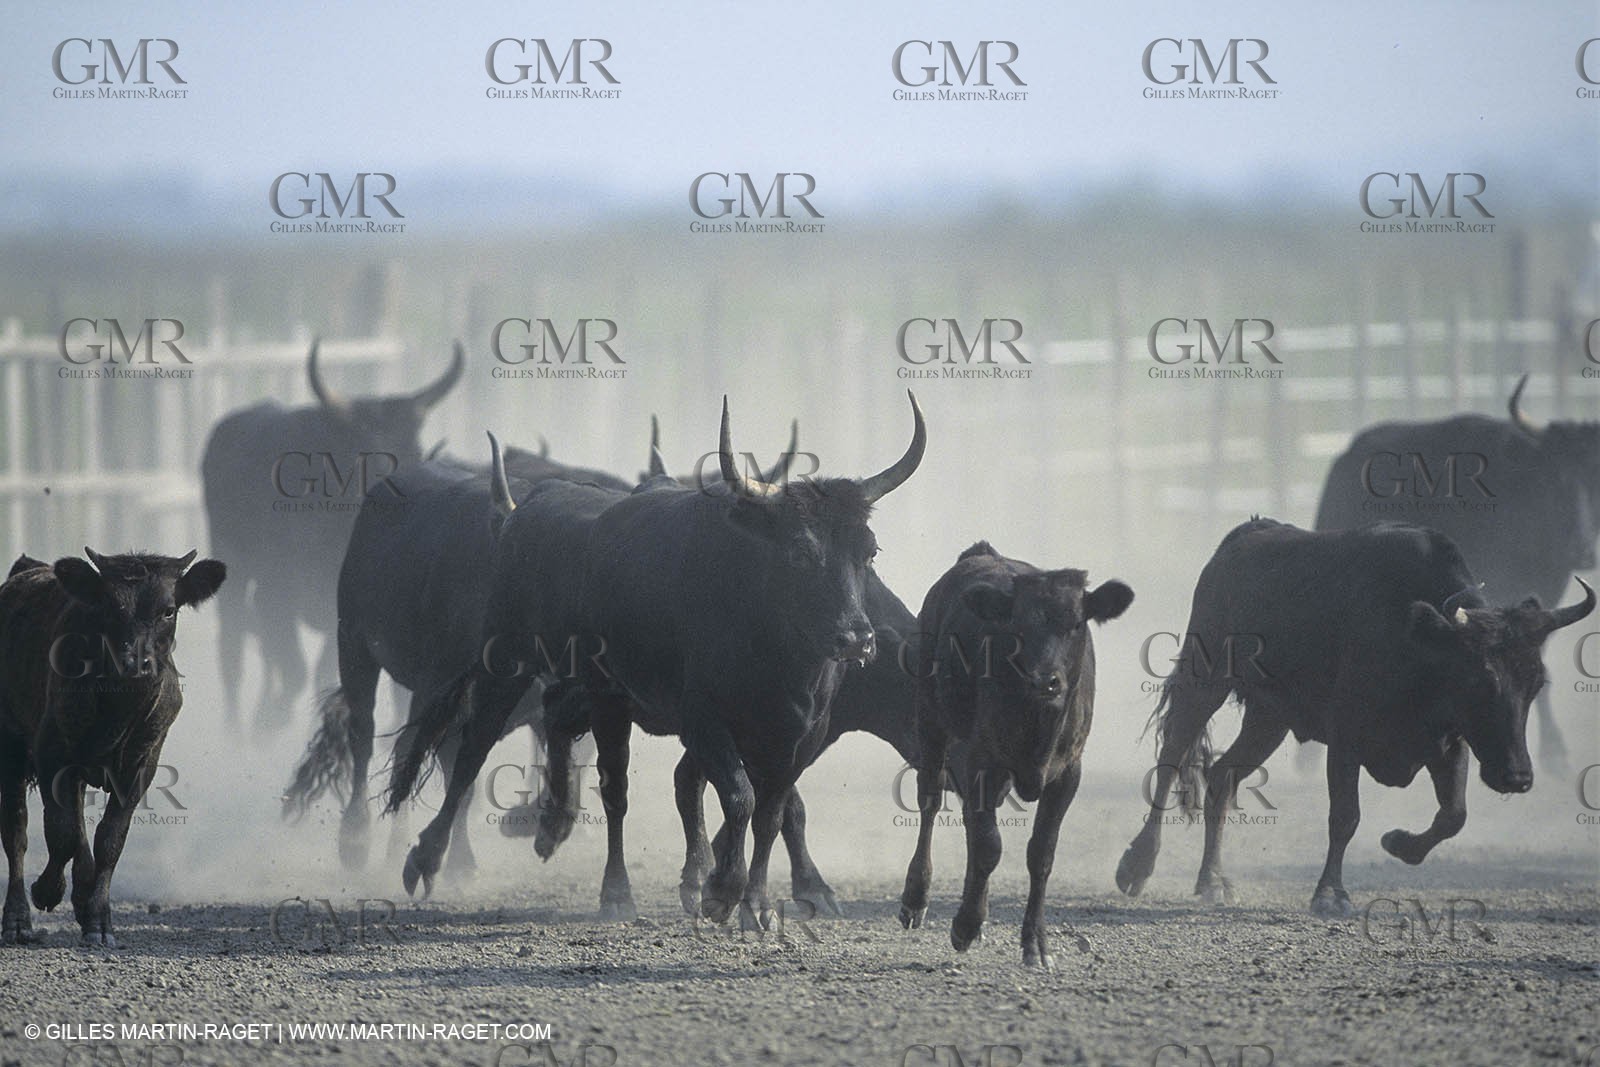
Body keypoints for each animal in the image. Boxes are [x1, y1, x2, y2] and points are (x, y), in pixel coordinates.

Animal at [0, 549, 225, 946]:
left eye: (169, 610)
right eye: (109, 607)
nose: (134, 663)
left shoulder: (142, 765)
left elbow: (109, 839)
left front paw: (99, 920)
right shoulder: (51, 754)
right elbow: (61, 833)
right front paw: (47, 890)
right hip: (10, 744)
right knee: (16, 830)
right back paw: (17, 920)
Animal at [199, 341, 462, 730]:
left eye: (415, 449)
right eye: (360, 451)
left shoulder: (337, 612)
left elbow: (318, 670)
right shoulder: (276, 592)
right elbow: (292, 667)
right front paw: (268, 721)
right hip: (231, 566)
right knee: (232, 650)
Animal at [387, 394, 925, 930]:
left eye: (869, 552)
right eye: (799, 553)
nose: (858, 638)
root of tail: (524, 513)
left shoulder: (802, 732)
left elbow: (770, 811)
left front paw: (756, 904)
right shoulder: (703, 719)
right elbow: (739, 796)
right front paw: (720, 892)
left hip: (582, 684)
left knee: (558, 720)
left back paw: (553, 825)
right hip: (520, 666)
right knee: (493, 756)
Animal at [896, 542, 1133, 967]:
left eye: (1076, 623)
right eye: (1017, 626)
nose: (1044, 680)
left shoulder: (1068, 774)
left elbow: (1041, 854)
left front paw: (1035, 943)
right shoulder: (982, 760)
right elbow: (989, 845)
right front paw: (965, 925)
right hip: (930, 718)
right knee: (930, 799)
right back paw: (917, 899)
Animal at [1115, 518, 1594, 917]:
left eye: (1534, 683)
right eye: (1479, 679)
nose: (1517, 777)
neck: (1417, 640)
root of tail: (1245, 535)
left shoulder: (1450, 742)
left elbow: (1453, 815)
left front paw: (1399, 844)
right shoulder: (1345, 739)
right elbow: (1345, 816)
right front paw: (1331, 894)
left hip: (1269, 718)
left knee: (1221, 777)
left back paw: (1213, 881)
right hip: (1203, 679)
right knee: (1171, 759)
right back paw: (1137, 865)